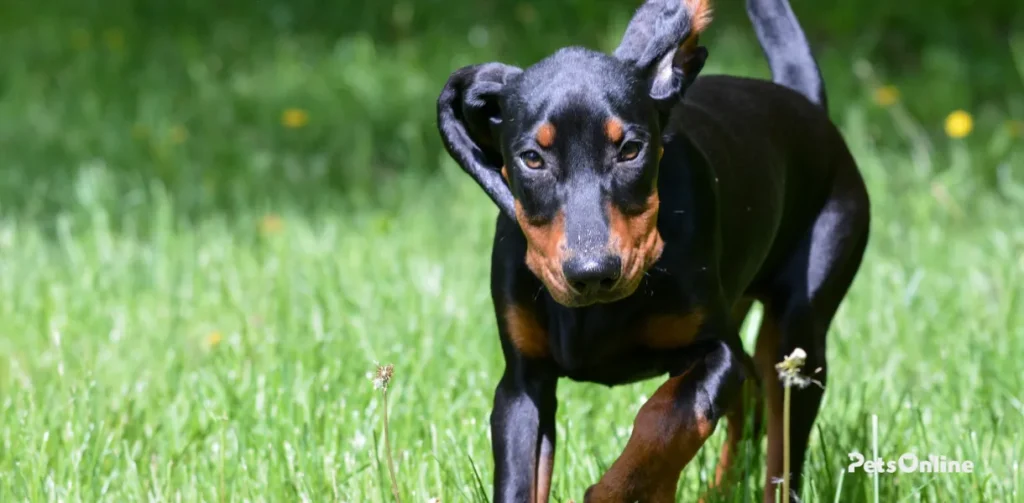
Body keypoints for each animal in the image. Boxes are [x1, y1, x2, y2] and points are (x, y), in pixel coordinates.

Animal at [436, 0, 868, 499]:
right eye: (532, 159)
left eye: (630, 150)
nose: (592, 274)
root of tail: (806, 105)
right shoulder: (524, 382)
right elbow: (520, 479)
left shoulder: (714, 351)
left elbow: (667, 418)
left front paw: (616, 491)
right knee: (751, 399)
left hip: (801, 328)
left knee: (781, 444)